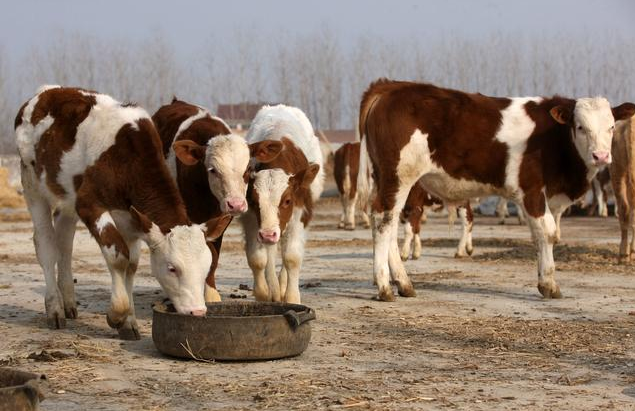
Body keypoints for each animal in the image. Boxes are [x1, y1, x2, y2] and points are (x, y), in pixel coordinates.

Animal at [14, 85, 221, 340]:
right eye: (172, 268)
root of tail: (48, 91)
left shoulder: (132, 217)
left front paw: (129, 322)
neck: (127, 156)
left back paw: (69, 302)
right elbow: (118, 257)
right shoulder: (89, 204)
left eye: (206, 266)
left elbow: (131, 264)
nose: (197, 311)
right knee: (46, 245)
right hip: (32, 183)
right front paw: (117, 314)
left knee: (64, 242)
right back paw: (54, 309)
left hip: (67, 195)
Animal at [150, 100, 282, 304]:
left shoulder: (220, 220)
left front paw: (210, 294)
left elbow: (213, 254)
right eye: (213, 170)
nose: (236, 204)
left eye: (248, 169)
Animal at [241, 104, 326, 304]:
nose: (267, 234)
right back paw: (274, 288)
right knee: (271, 253)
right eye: (254, 201)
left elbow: (292, 258)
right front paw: (263, 293)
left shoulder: (299, 215)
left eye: (287, 200)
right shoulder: (251, 218)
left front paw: (292, 297)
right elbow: (258, 258)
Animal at [360, 78, 632, 302]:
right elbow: (546, 233)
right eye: (580, 127)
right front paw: (548, 284)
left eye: (611, 127)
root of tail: (390, 86)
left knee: (389, 221)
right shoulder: (531, 190)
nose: (601, 156)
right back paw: (384, 287)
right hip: (399, 176)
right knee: (384, 220)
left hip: (388, 179)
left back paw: (403, 283)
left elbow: (549, 234)